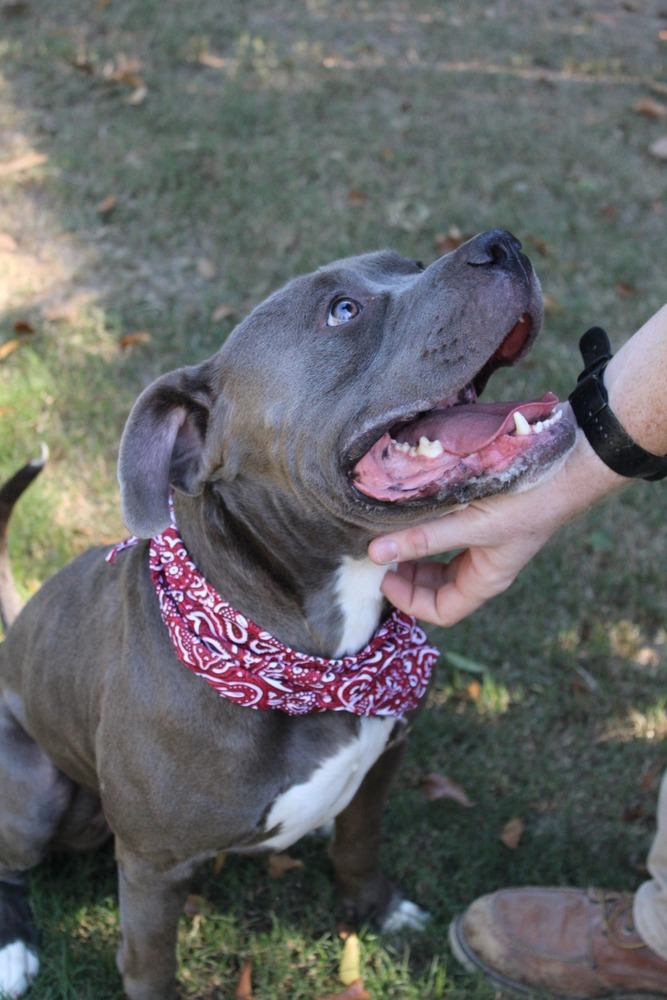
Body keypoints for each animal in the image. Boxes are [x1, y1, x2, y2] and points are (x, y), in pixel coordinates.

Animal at [0, 230, 576, 996]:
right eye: (342, 310)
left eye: (410, 265)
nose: (500, 243)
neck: (308, 654)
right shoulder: (152, 867)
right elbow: (150, 963)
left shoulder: (385, 760)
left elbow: (360, 843)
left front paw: (376, 907)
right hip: (32, 790)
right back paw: (11, 947)